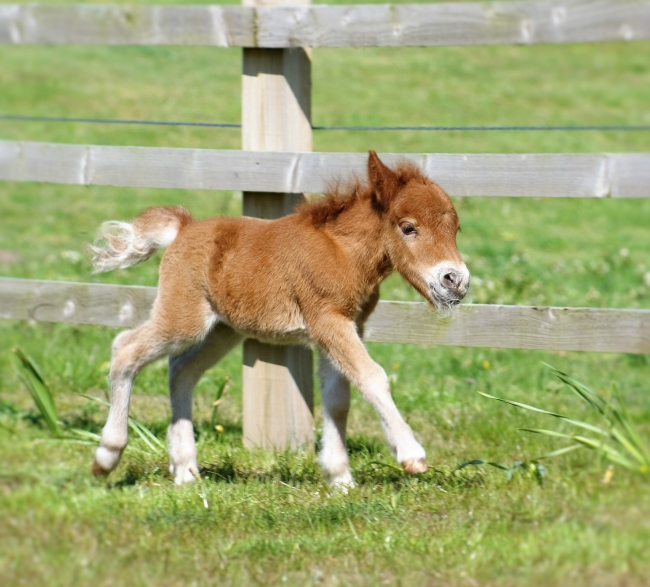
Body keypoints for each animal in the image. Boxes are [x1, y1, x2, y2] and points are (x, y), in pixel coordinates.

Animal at [89, 151, 470, 487]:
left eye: (456, 228)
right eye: (408, 228)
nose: (456, 280)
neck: (343, 253)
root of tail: (184, 228)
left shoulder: (343, 327)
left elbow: (338, 398)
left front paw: (340, 478)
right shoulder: (328, 321)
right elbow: (372, 377)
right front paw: (411, 454)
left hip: (224, 329)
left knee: (181, 370)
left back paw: (185, 470)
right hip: (184, 318)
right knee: (125, 348)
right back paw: (107, 456)